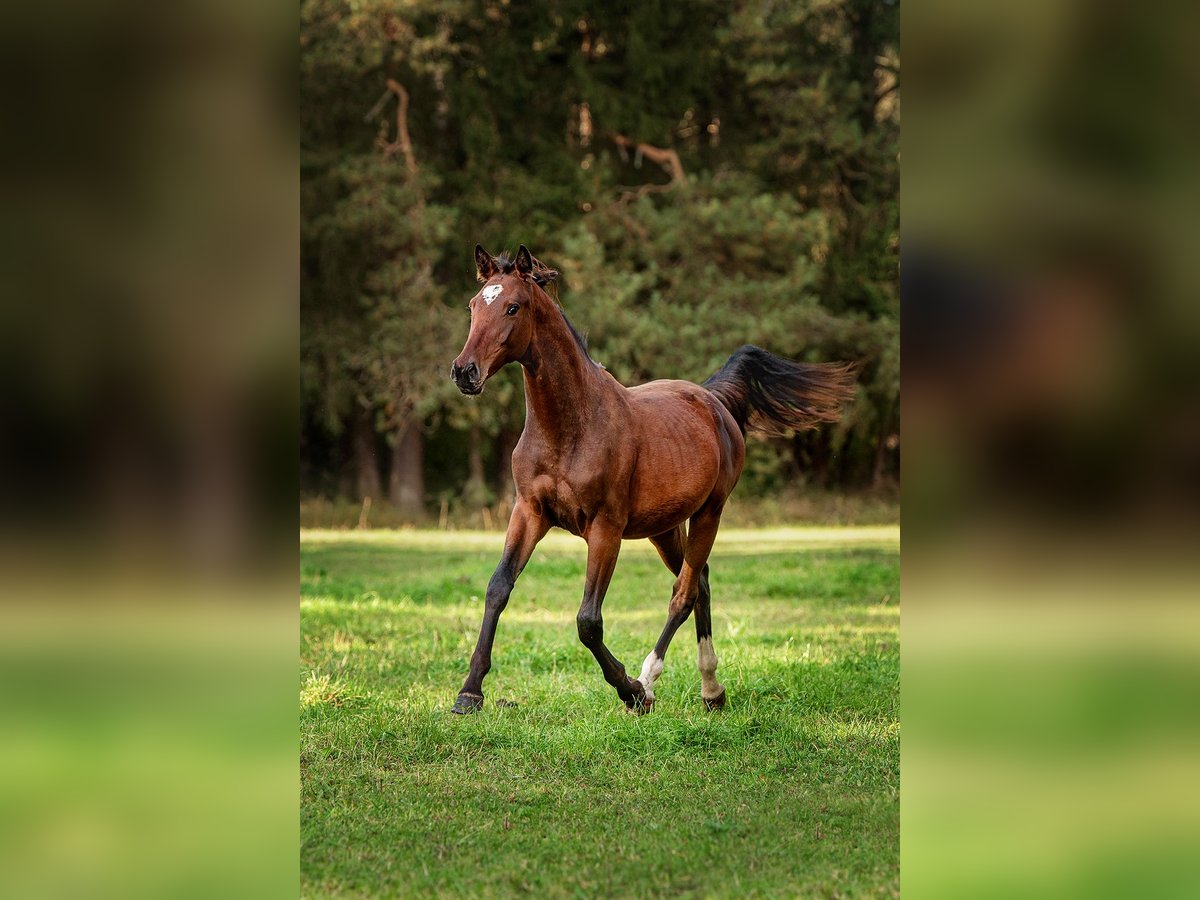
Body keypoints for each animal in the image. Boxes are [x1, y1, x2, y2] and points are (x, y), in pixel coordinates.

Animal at [448, 244, 856, 714]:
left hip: (710, 514)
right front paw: (469, 692)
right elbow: (498, 588)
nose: (464, 372)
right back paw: (710, 691)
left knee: (684, 592)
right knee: (700, 583)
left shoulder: (605, 527)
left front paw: (629, 689)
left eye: (512, 307)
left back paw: (657, 682)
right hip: (664, 528)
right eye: (474, 305)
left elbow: (588, 621)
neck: (570, 427)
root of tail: (713, 399)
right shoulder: (529, 512)